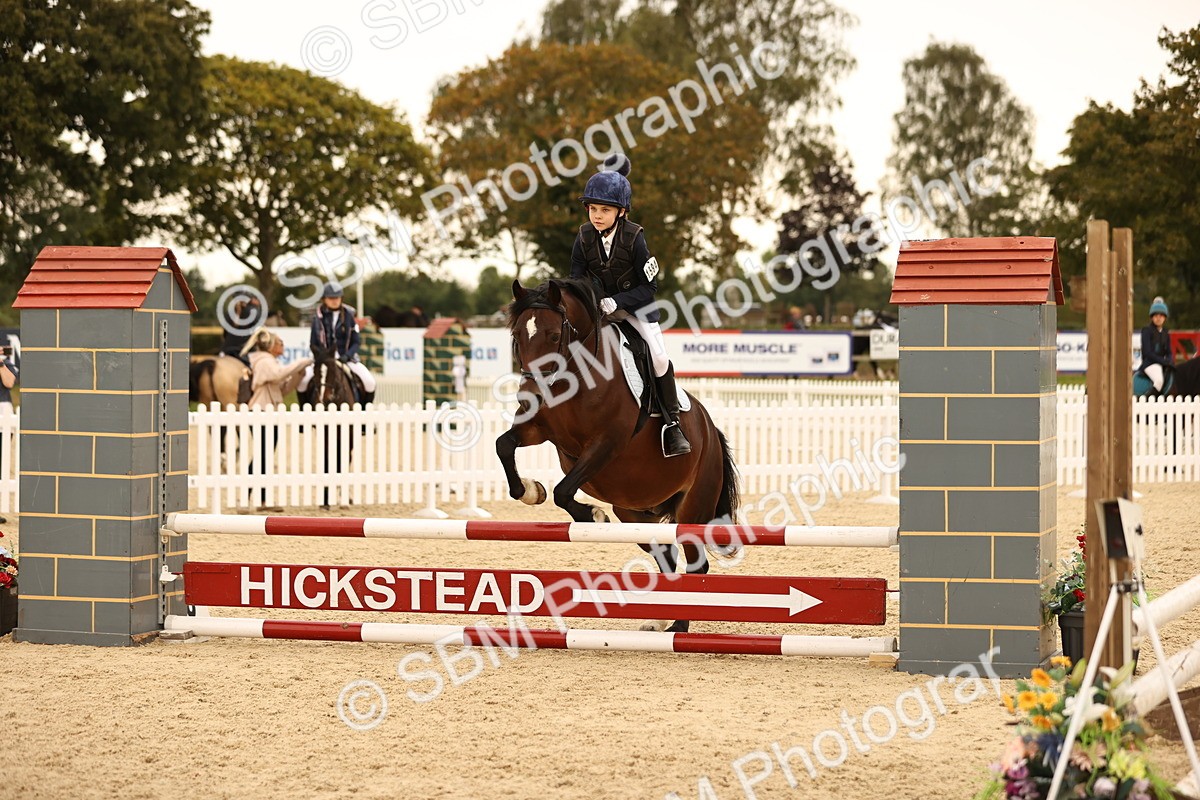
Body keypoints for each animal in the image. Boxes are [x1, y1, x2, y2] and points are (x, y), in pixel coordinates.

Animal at [497, 278, 740, 633]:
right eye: (516, 336)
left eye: (554, 336)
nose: (529, 397)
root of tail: (711, 429)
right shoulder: (537, 430)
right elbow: (504, 447)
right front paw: (531, 490)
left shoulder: (607, 443)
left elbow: (563, 490)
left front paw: (592, 515)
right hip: (633, 513)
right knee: (666, 555)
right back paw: (663, 621)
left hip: (693, 508)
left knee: (697, 565)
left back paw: (679, 628)